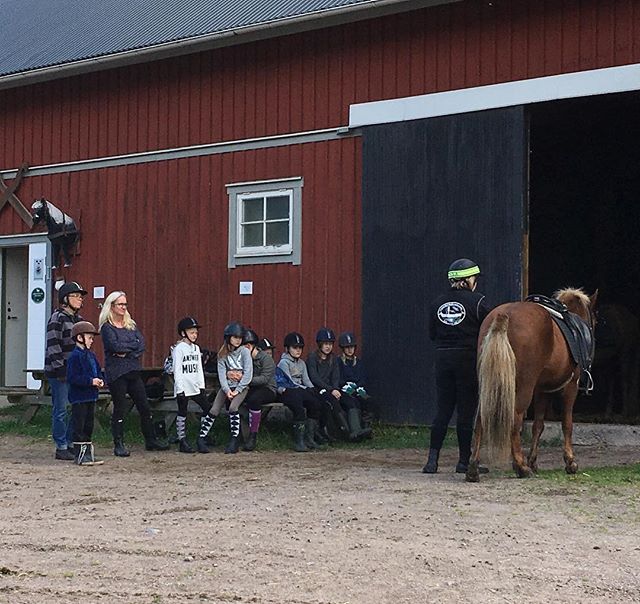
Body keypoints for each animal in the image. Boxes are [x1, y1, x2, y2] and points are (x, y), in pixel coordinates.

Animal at [464, 286, 596, 482]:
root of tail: (504, 316)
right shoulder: (570, 386)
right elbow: (567, 423)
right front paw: (570, 462)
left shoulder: (542, 391)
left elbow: (538, 426)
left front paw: (533, 461)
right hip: (523, 388)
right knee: (515, 418)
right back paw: (521, 467)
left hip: (488, 386)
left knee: (480, 419)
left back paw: (473, 468)